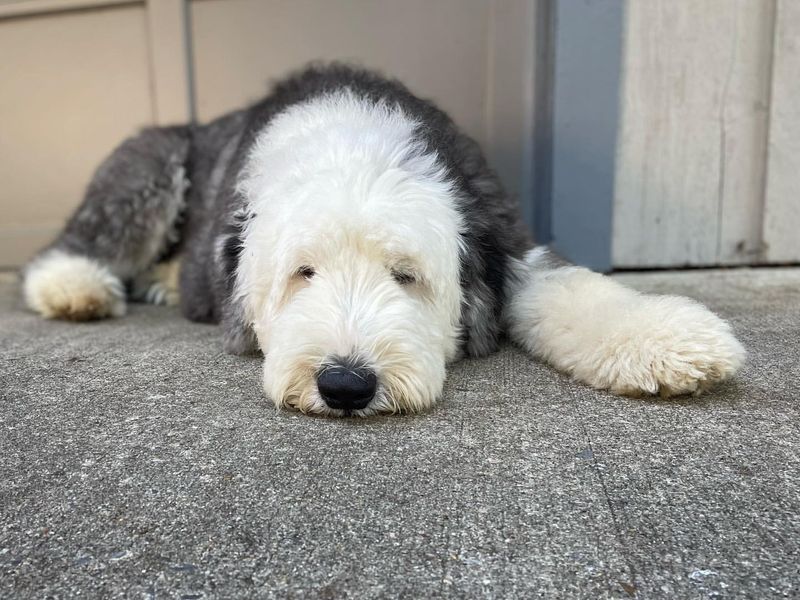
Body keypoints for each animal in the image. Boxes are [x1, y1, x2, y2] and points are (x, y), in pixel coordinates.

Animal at [20, 63, 744, 414]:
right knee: (78, 241)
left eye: (406, 275)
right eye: (304, 273)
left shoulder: (502, 237)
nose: (345, 385)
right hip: (147, 166)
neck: (353, 150)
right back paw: (73, 288)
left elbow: (573, 288)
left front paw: (672, 342)